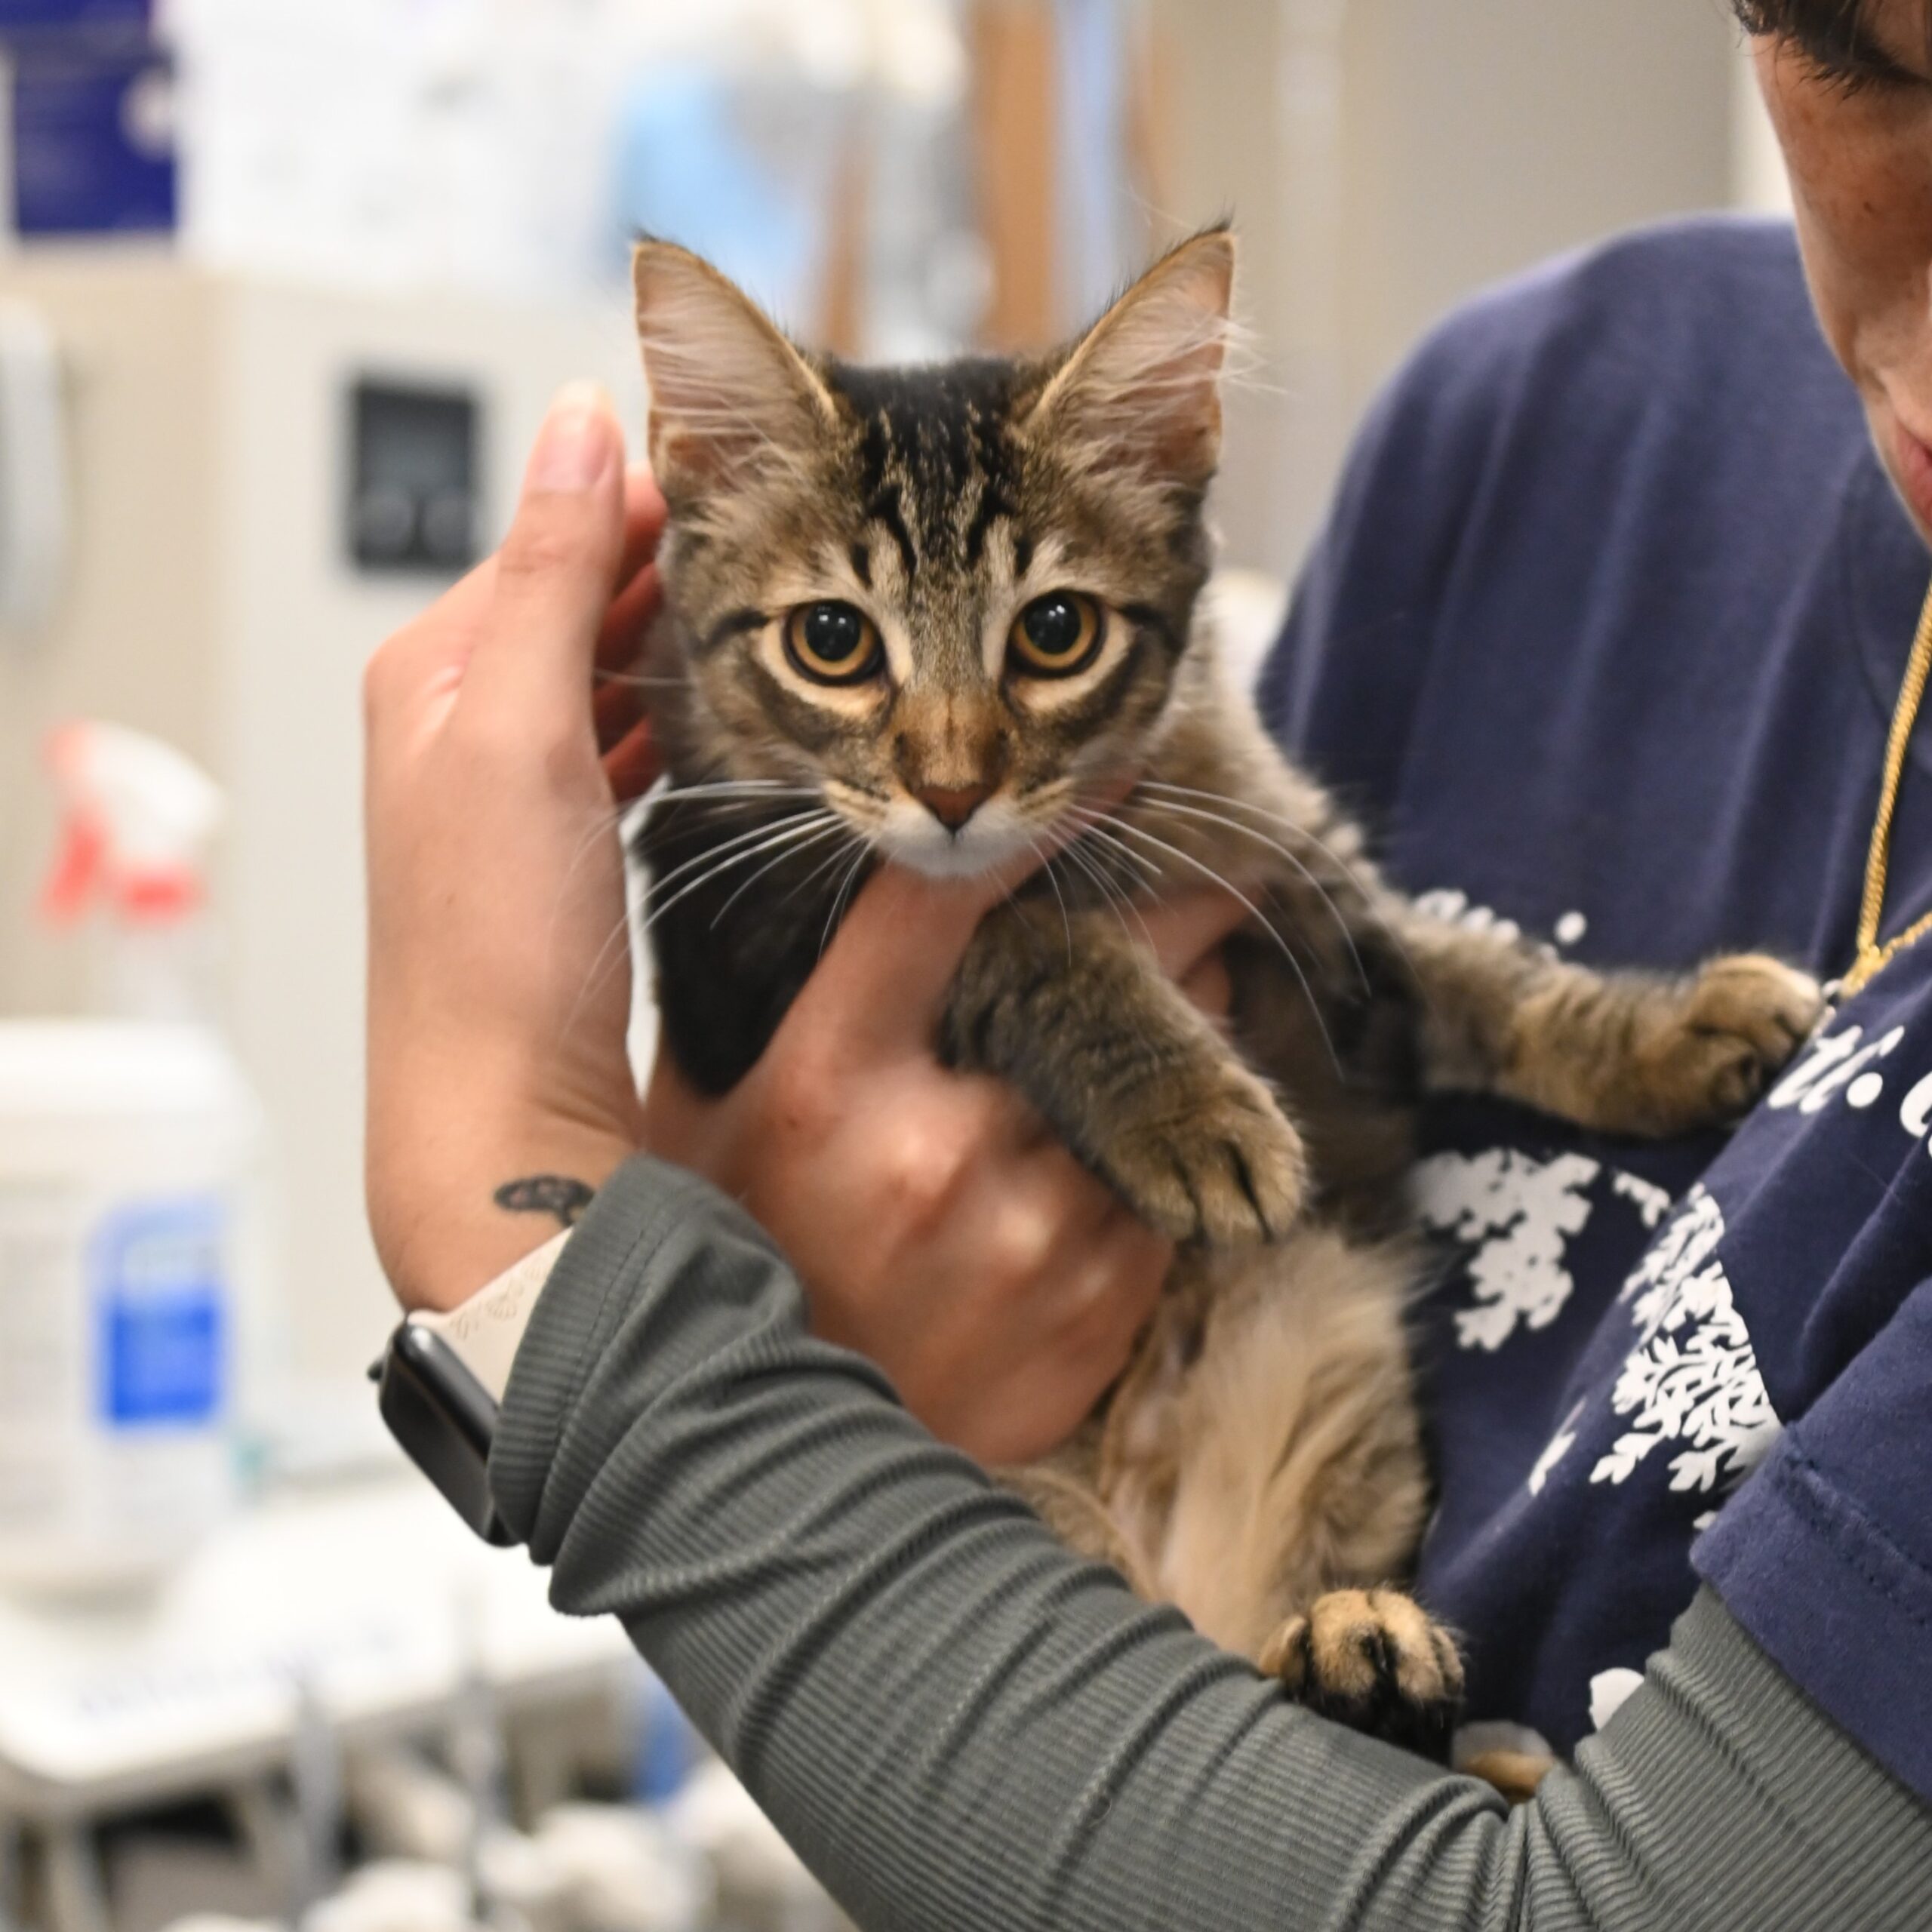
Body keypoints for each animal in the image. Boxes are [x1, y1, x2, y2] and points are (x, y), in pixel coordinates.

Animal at [626, 226, 1816, 1754]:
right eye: (832, 640)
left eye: (1055, 631)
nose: (952, 790)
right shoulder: (750, 936)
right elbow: (1027, 938)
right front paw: (1192, 1113)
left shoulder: (1323, 926)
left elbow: (1491, 981)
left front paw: (1670, 1032)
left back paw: (1364, 1651)